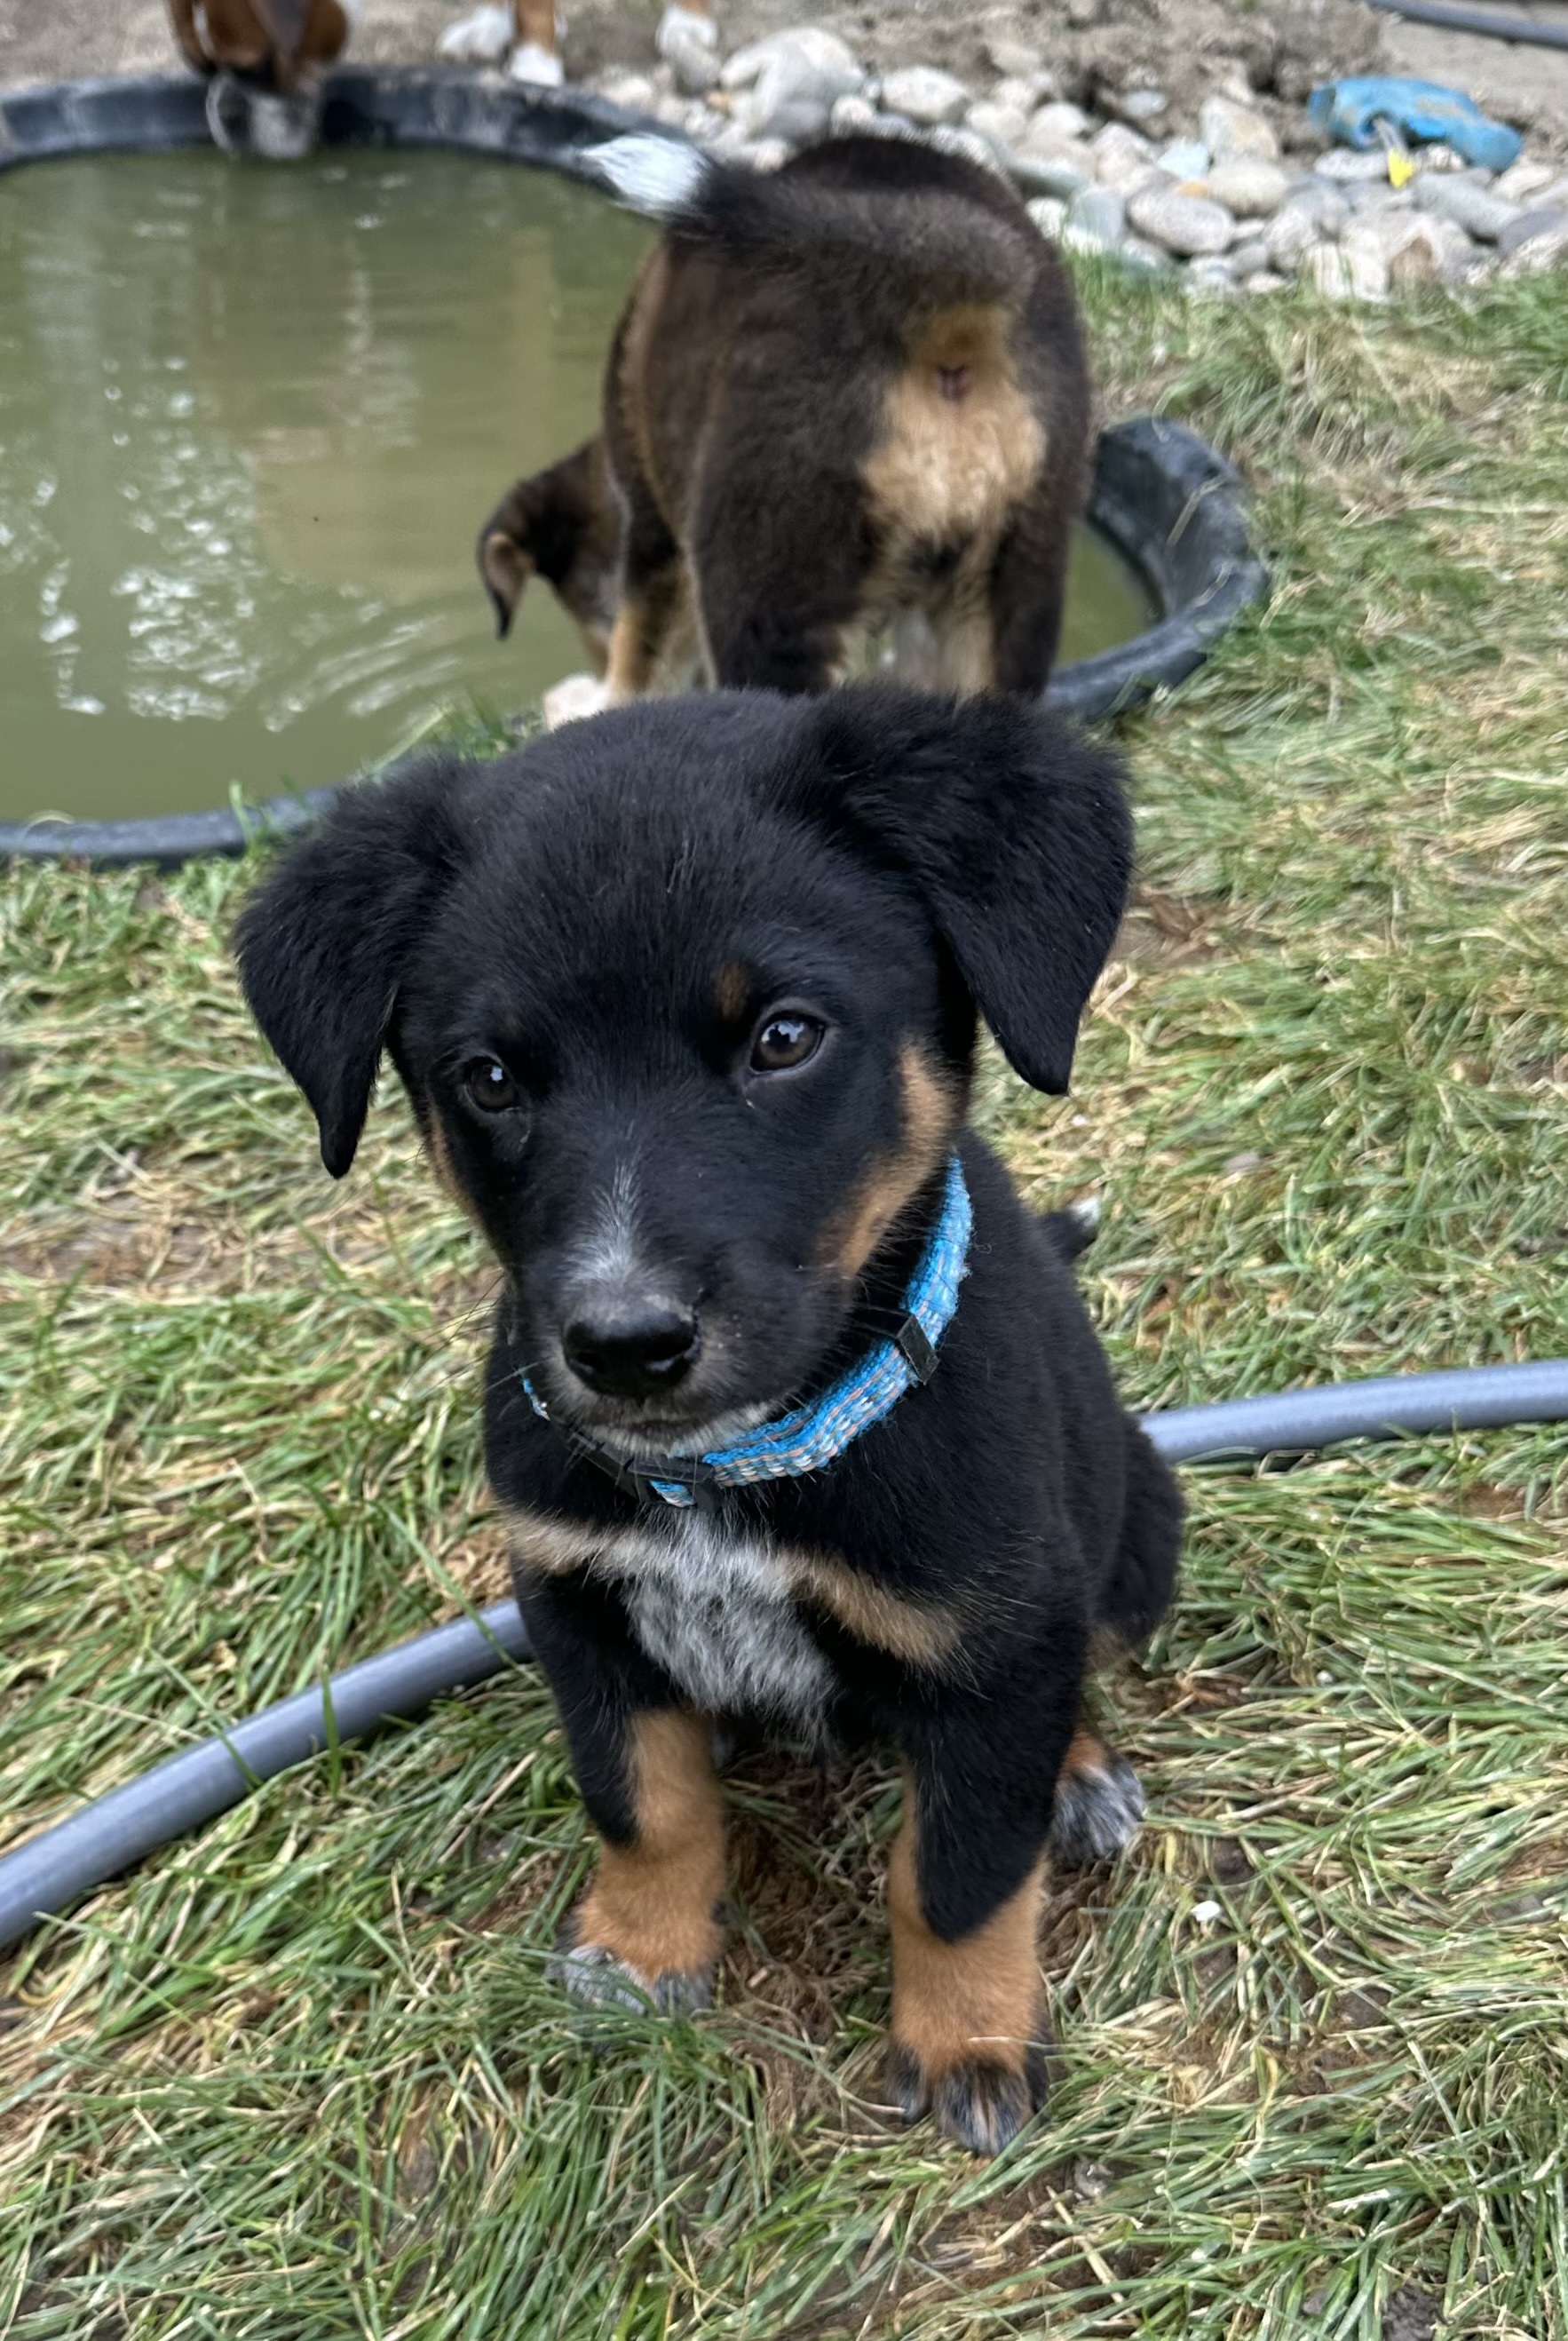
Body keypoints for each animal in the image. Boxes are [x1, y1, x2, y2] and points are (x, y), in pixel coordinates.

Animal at [236, 683, 1179, 2154]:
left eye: (782, 1037)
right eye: (489, 1077)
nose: (624, 1347)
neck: (727, 1471)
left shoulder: (992, 1625)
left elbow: (958, 1867)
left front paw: (967, 2035)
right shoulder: (572, 1599)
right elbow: (643, 1802)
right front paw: (641, 1953)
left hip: (1133, 1522)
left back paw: (1076, 1773)